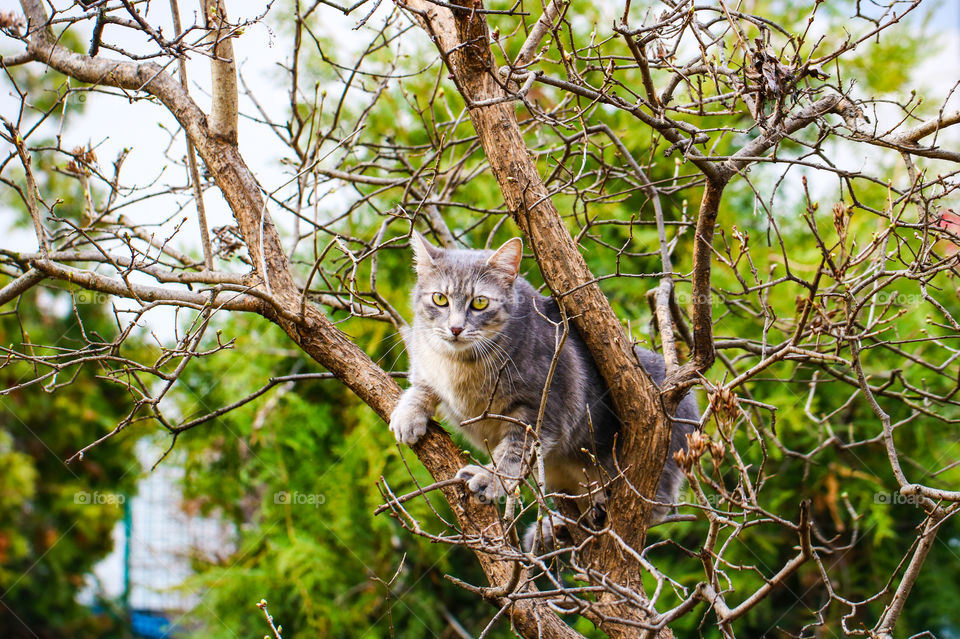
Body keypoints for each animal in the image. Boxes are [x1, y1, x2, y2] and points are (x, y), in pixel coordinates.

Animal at [390, 232, 696, 548]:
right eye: (440, 299)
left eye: (480, 303)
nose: (455, 329)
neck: (459, 366)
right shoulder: (426, 363)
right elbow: (422, 386)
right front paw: (408, 413)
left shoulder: (543, 410)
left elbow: (513, 453)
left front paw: (491, 478)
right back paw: (559, 528)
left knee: (658, 506)